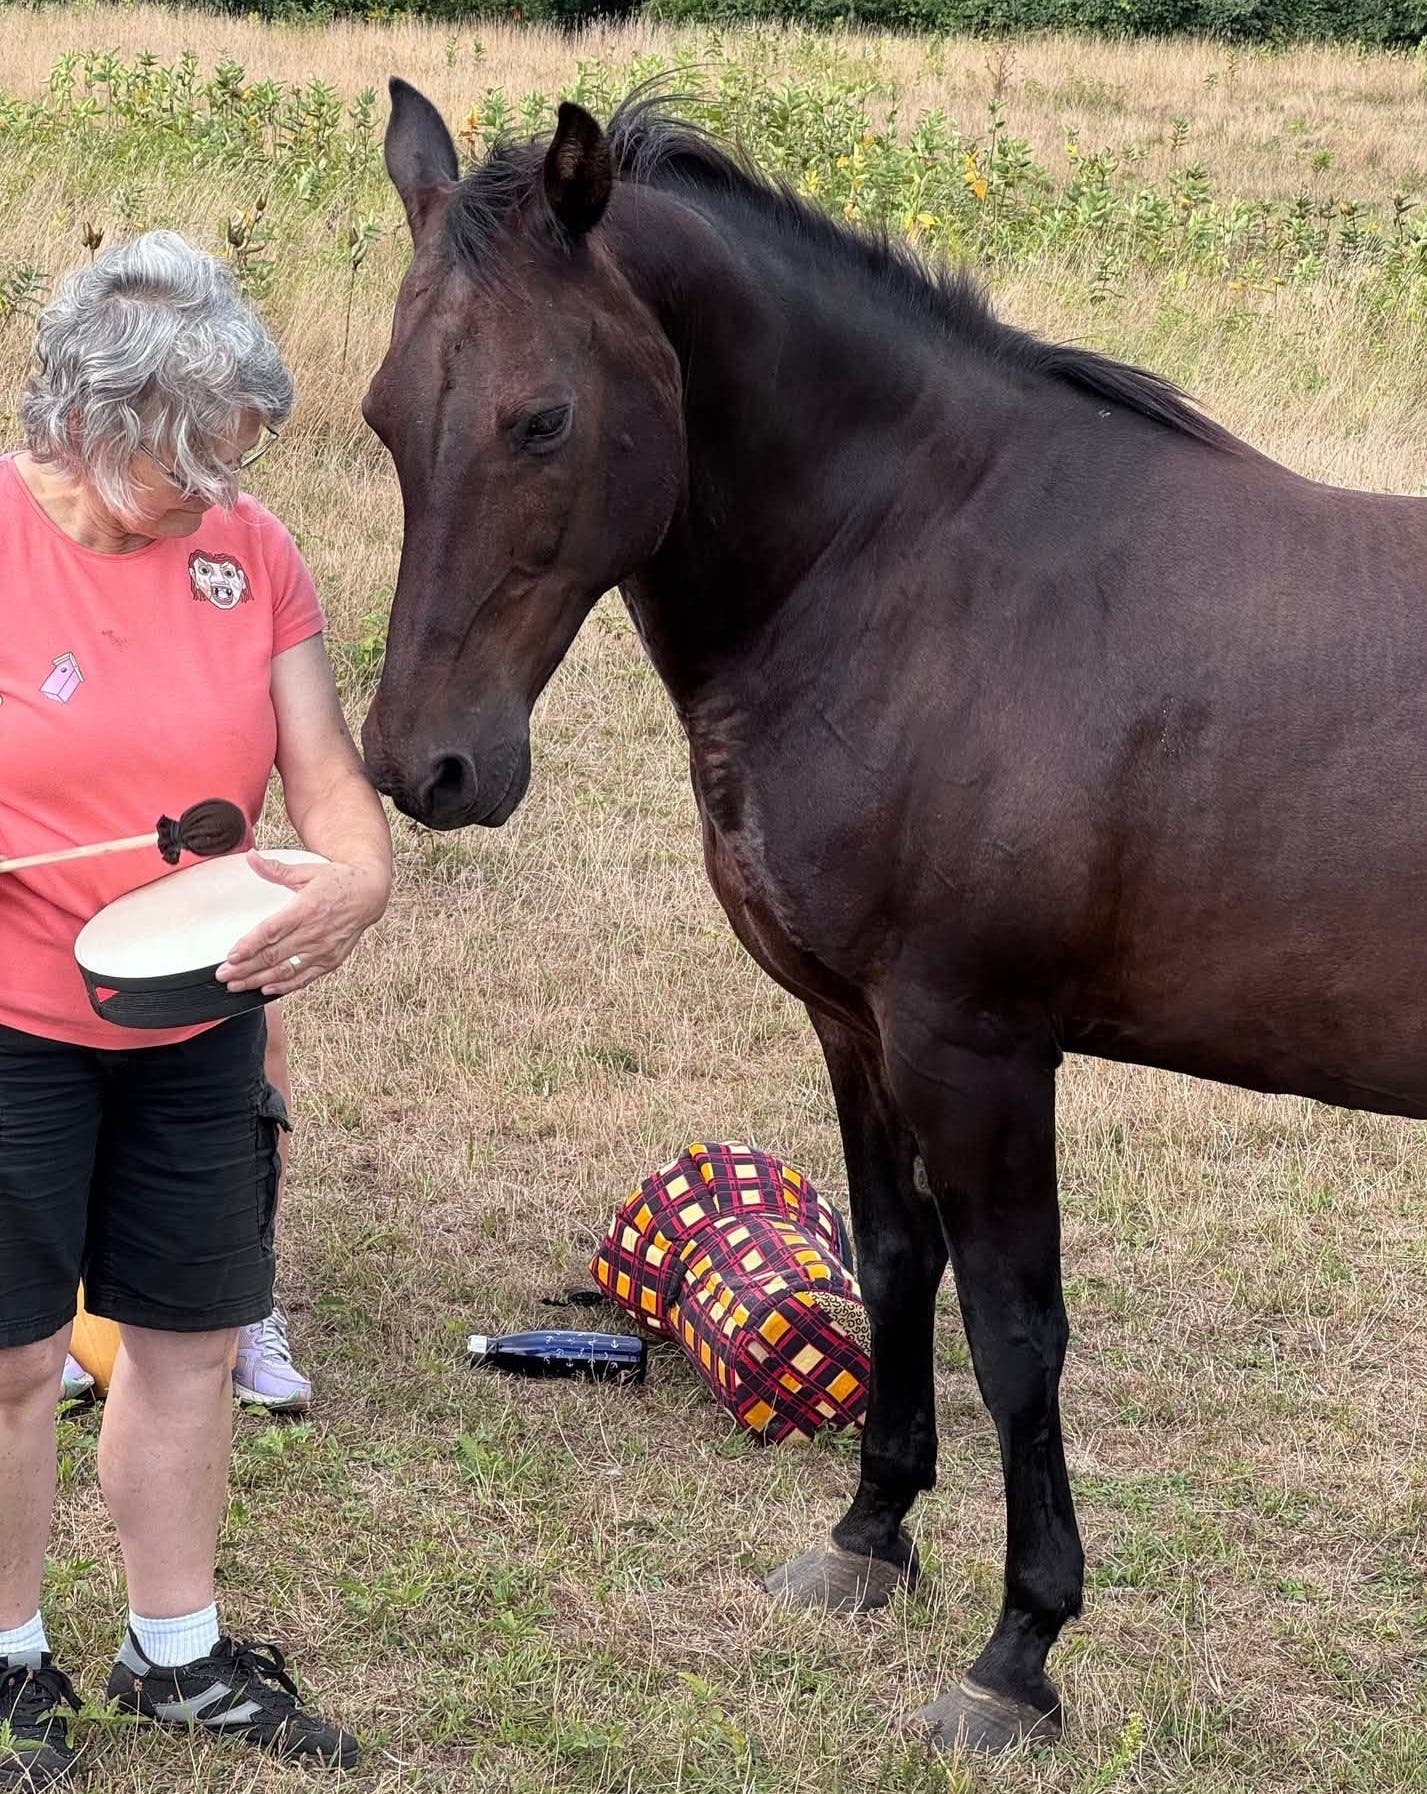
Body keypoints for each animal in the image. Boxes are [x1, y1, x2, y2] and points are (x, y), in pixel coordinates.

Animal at [359, 78, 1427, 1753]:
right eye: (385, 414)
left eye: (542, 419)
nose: (425, 766)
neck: (920, 579)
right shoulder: (851, 1022)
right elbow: (885, 1261)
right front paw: (869, 1536)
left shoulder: (973, 1047)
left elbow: (1015, 1330)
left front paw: (1017, 1649)